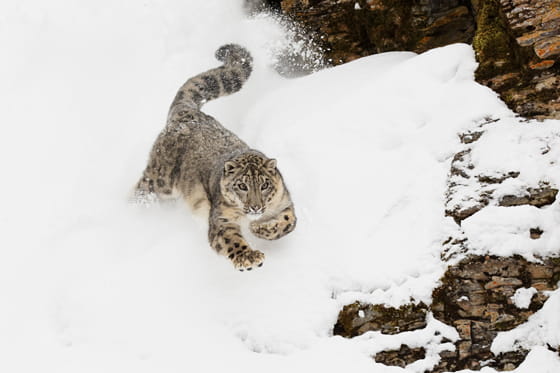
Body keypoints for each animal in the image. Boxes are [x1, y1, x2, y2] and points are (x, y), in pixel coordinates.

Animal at [134, 44, 298, 270]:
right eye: (242, 186)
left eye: (264, 185)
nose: (255, 207)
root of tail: (188, 113)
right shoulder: (222, 219)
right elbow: (231, 239)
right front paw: (248, 257)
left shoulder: (285, 203)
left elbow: (289, 222)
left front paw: (260, 229)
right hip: (160, 180)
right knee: (142, 189)